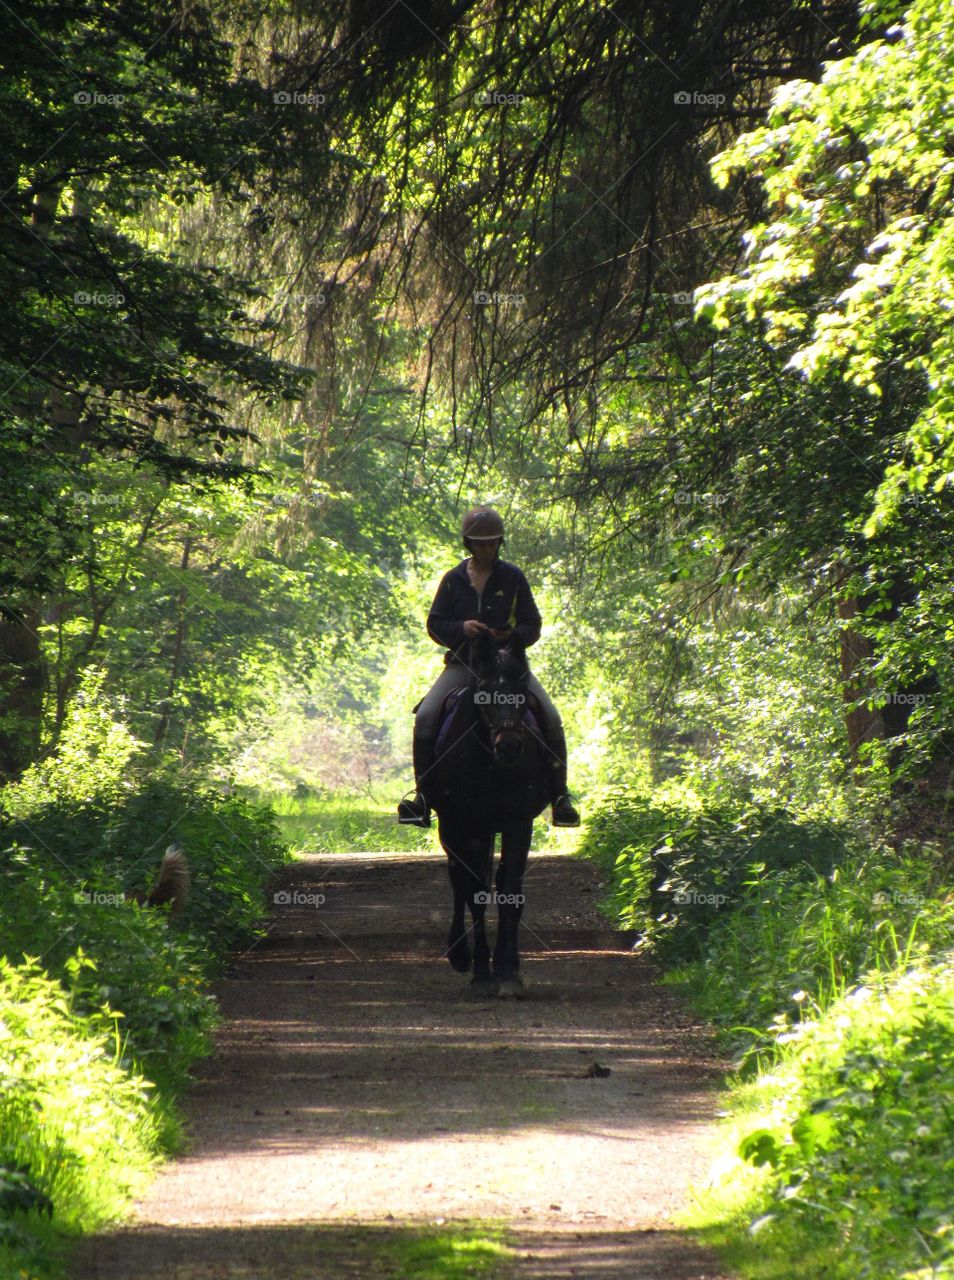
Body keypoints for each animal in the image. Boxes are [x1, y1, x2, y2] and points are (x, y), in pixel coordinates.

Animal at [425, 629, 550, 998]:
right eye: (483, 689)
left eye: (522, 689)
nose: (508, 746)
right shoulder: (467, 824)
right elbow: (475, 893)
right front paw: (481, 972)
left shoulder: (518, 824)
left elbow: (509, 892)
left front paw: (508, 972)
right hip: (453, 831)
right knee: (458, 879)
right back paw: (459, 955)